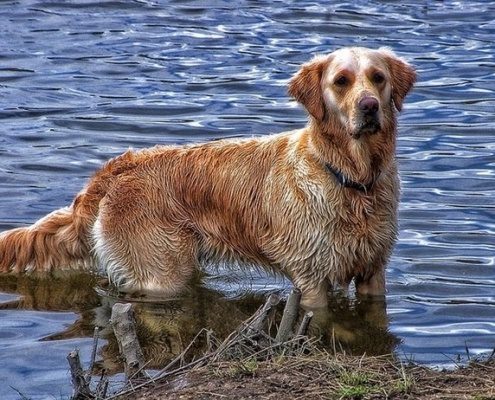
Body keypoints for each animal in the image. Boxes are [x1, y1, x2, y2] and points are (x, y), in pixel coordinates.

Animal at [0, 47, 414, 310]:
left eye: (378, 78)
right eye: (341, 80)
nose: (369, 106)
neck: (350, 176)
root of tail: (122, 164)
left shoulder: (374, 271)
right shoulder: (311, 277)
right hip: (161, 273)